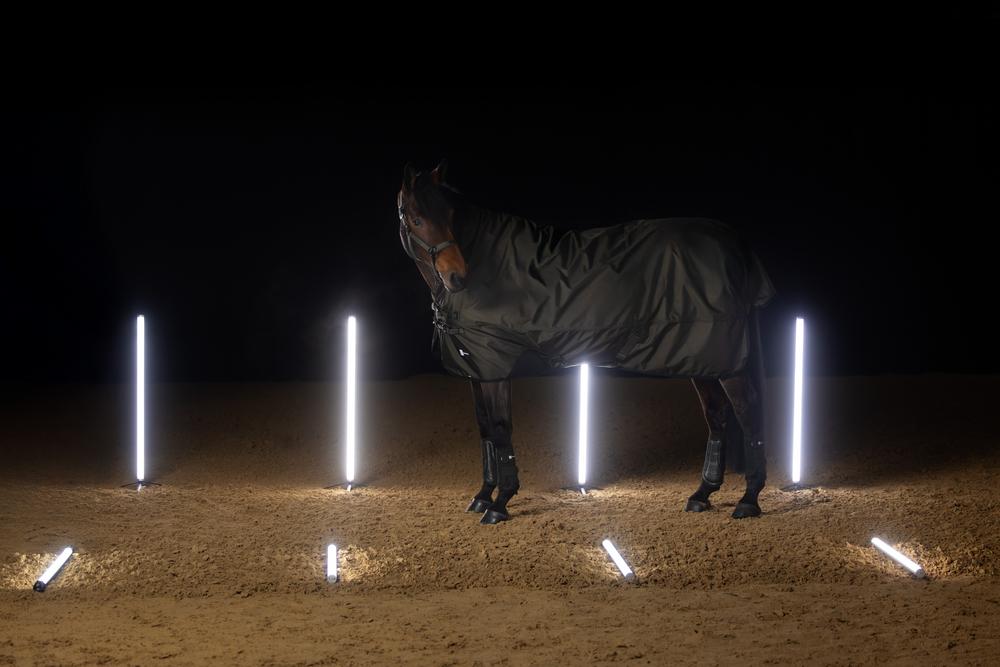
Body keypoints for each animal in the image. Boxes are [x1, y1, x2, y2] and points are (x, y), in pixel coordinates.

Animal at [397, 161, 774, 524]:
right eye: (417, 220)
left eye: (450, 216)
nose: (457, 276)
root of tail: (733, 241)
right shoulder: (477, 366)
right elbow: (485, 430)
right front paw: (483, 496)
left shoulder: (496, 363)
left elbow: (501, 430)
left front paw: (500, 503)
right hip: (701, 357)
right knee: (717, 415)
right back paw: (702, 494)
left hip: (723, 359)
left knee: (748, 411)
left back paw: (749, 499)